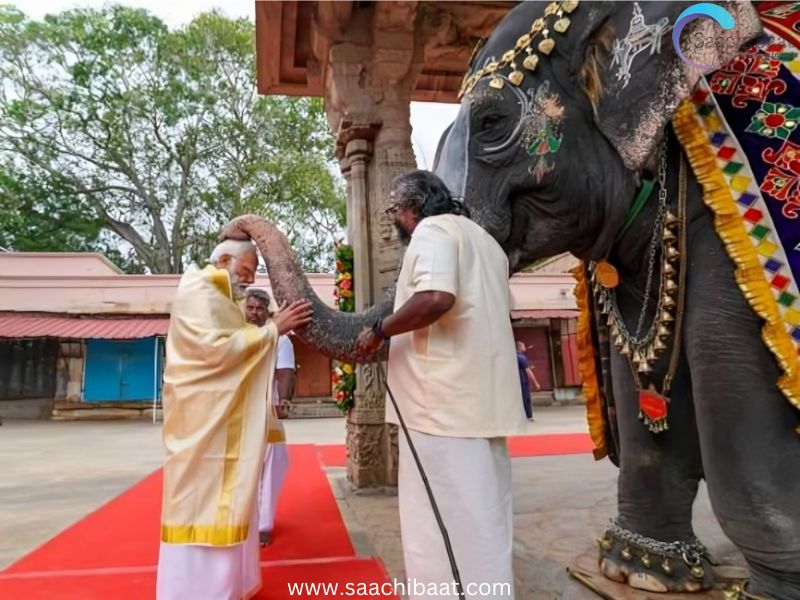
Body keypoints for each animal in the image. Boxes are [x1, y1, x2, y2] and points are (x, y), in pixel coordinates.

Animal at [222, 0, 800, 596]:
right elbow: (635, 372)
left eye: (492, 123)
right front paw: (640, 570)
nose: (235, 231)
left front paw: (763, 589)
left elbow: (733, 377)